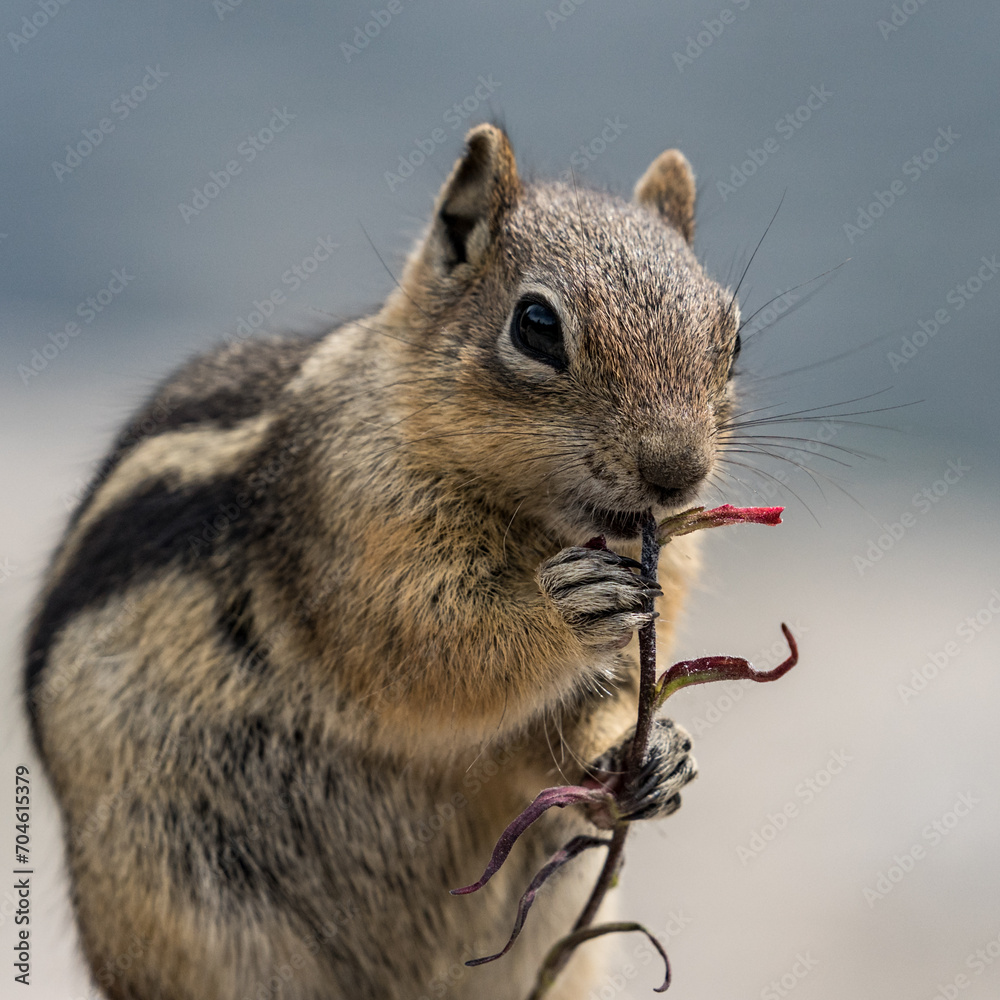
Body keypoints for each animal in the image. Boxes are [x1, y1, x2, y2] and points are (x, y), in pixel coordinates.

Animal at [24, 123, 742, 1000]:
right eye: (537, 325)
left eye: (733, 335)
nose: (677, 472)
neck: (544, 529)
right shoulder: (353, 526)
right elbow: (431, 652)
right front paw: (571, 607)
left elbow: (563, 726)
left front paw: (658, 754)